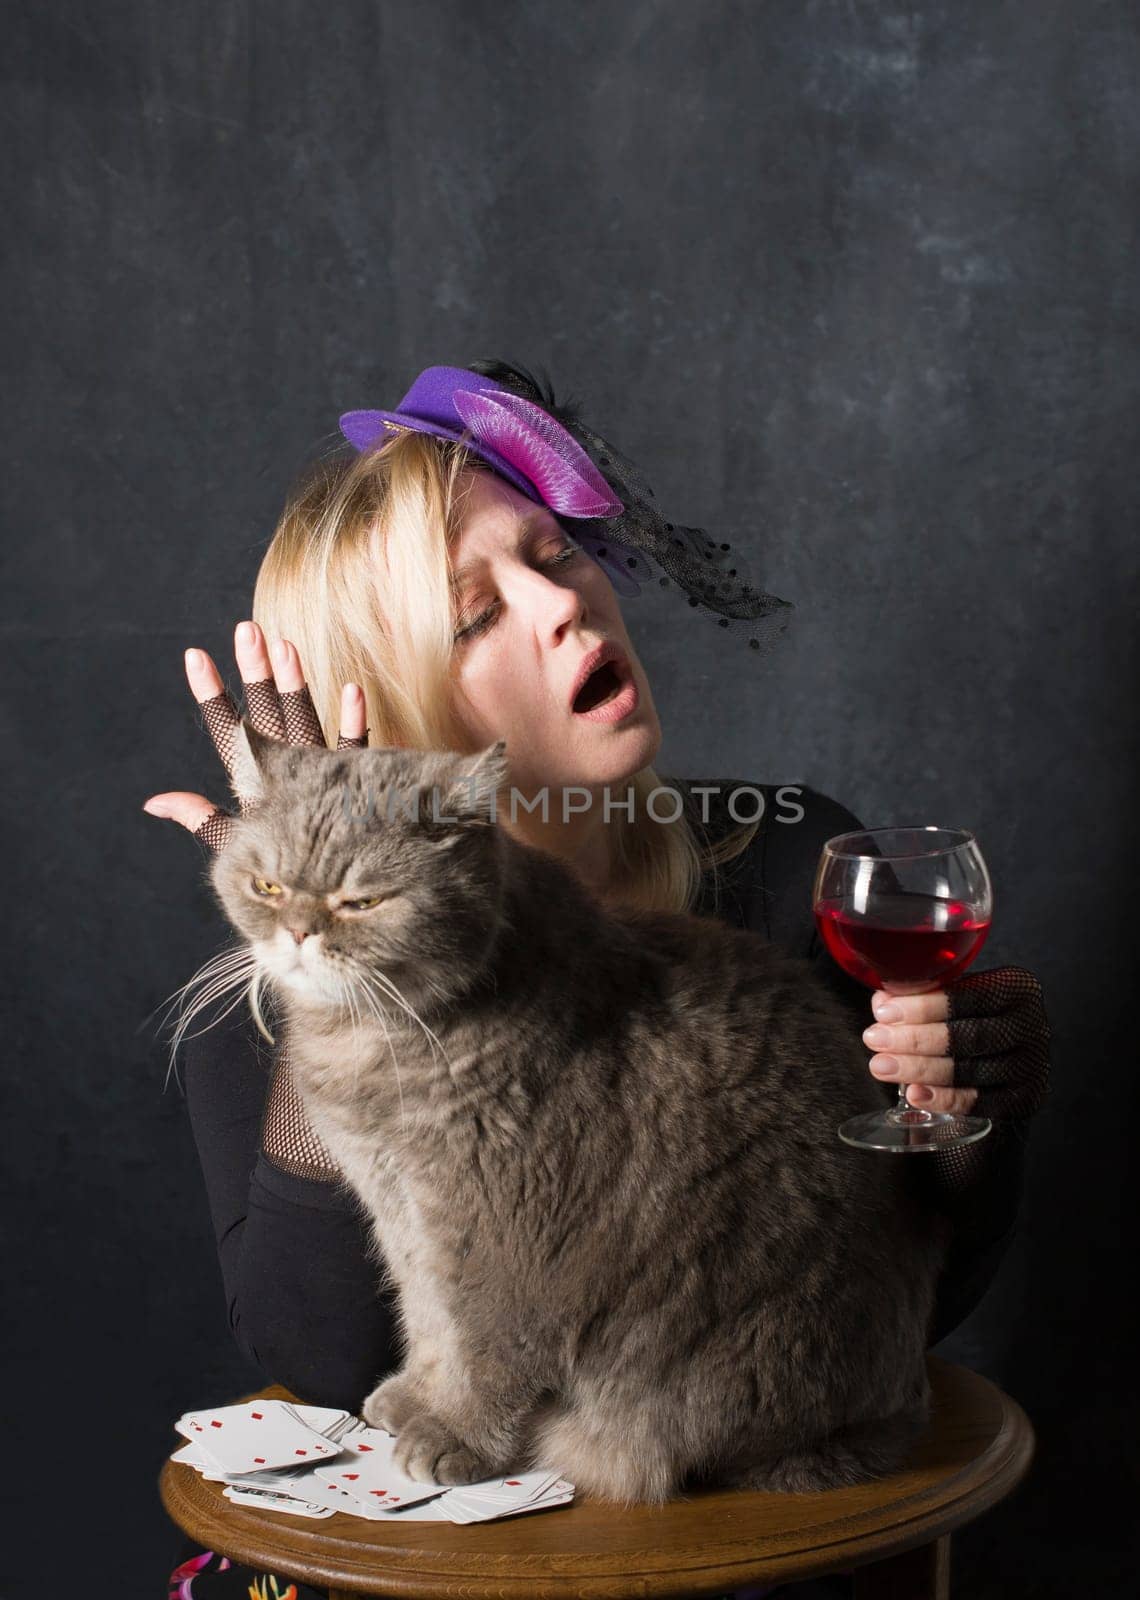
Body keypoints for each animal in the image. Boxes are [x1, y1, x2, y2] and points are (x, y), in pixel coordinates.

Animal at [206, 720, 954, 1504]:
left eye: (362, 902)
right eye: (266, 886)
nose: (297, 933)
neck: (374, 1045)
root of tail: (896, 1409)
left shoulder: (501, 1224)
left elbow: (485, 1340)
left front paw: (459, 1435)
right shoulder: (400, 1210)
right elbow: (427, 1316)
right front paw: (418, 1396)